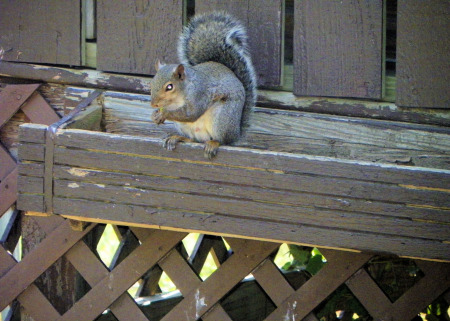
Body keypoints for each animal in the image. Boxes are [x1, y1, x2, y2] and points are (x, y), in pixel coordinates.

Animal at [150, 11, 256, 159]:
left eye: (169, 87)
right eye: (151, 83)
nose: (153, 104)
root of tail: (236, 134)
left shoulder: (200, 93)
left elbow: (192, 113)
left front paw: (163, 114)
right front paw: (155, 116)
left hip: (221, 119)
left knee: (222, 140)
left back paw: (213, 143)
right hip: (185, 127)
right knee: (193, 140)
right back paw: (177, 138)